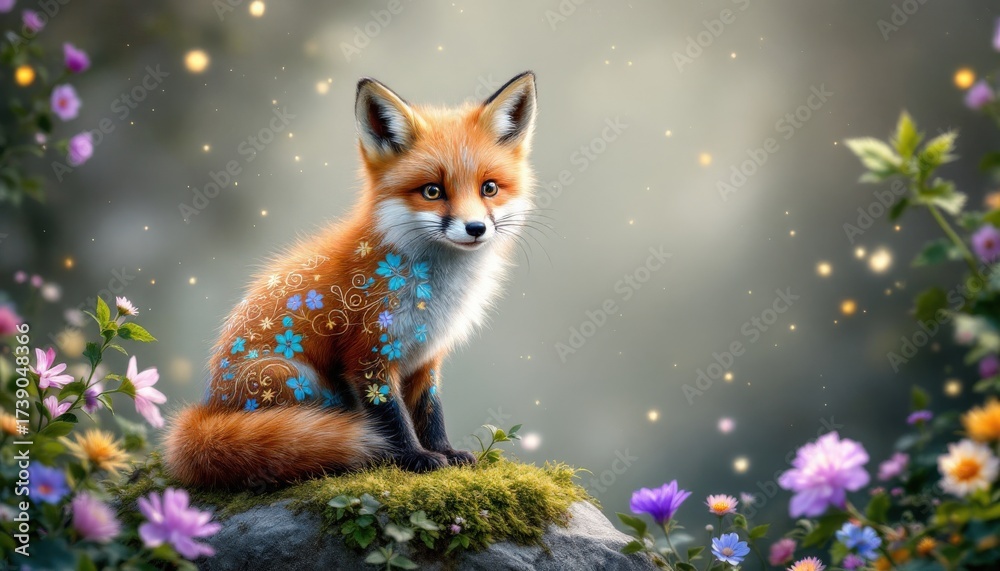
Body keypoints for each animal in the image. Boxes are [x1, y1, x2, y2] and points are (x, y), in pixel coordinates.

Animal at [164, 72, 538, 488]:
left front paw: (446, 452)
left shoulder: (426, 359)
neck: (432, 293)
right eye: (432, 191)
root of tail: (208, 407)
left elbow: (431, 412)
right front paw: (414, 458)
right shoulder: (368, 355)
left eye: (489, 188)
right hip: (295, 379)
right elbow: (393, 420)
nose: (475, 229)